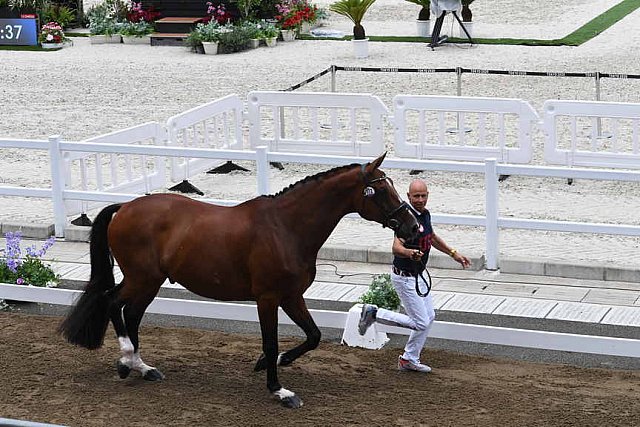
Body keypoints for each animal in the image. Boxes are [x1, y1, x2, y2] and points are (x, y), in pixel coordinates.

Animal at [57, 153, 418, 408]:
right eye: (381, 189)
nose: (412, 227)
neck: (286, 228)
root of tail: (126, 207)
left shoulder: (292, 296)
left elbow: (313, 336)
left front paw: (268, 364)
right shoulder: (268, 298)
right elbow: (271, 342)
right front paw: (279, 390)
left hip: (150, 282)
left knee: (130, 313)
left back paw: (142, 367)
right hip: (142, 278)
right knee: (113, 303)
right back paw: (126, 358)